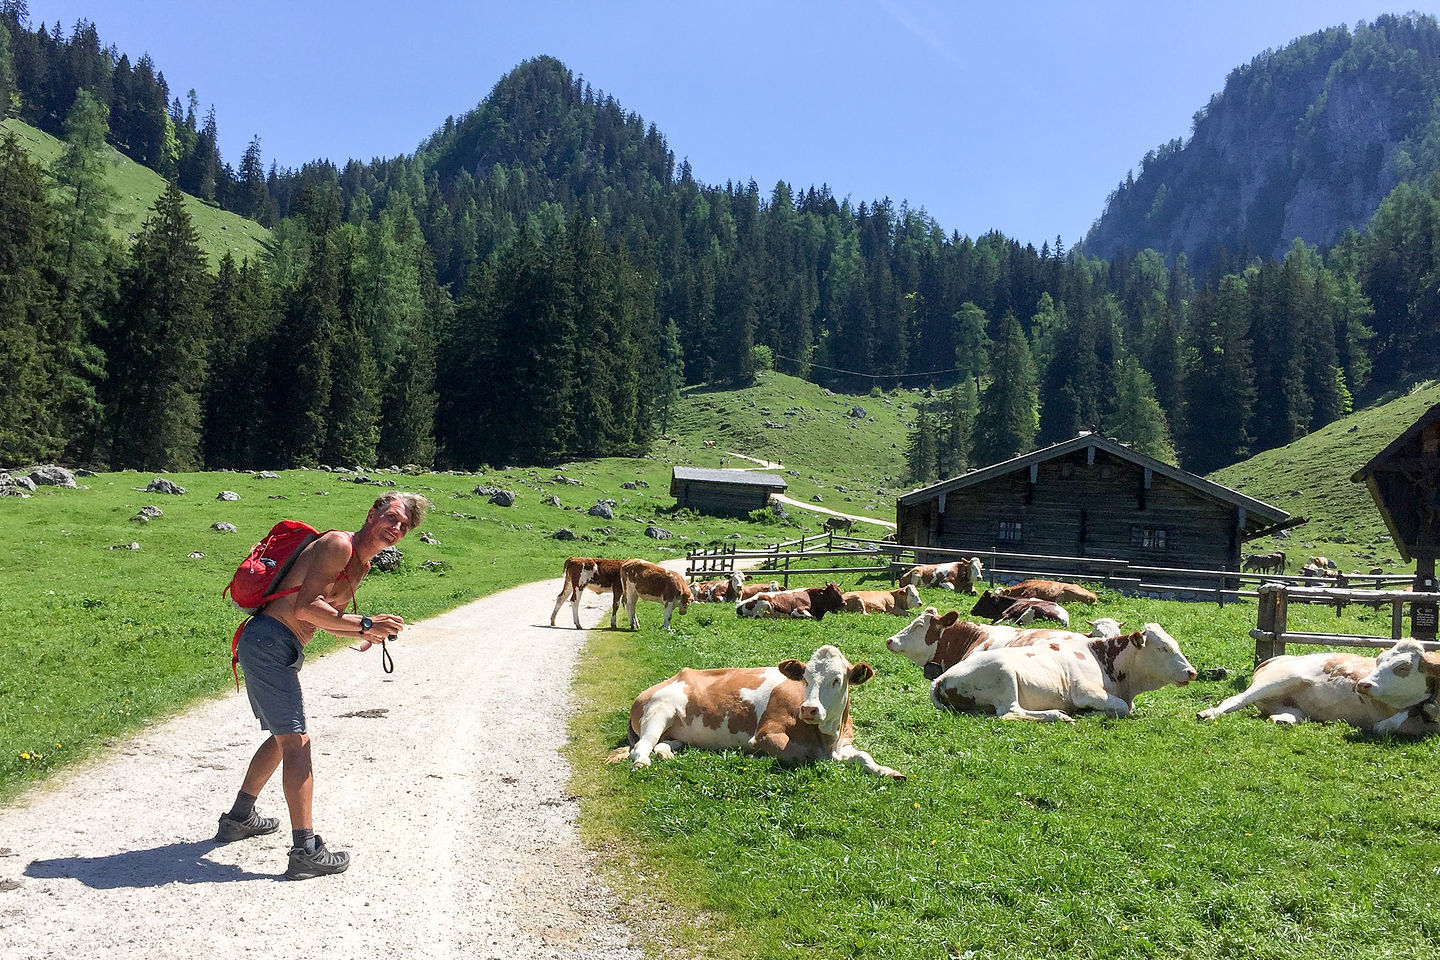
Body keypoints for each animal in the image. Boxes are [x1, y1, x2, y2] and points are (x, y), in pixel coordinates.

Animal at [604, 644, 898, 782]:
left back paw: (667, 754)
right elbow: (800, 756)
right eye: (805, 678)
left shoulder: (843, 744)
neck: (827, 739)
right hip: (658, 711)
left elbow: (864, 756)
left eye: (837, 679)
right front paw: (756, 756)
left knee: (662, 744)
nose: (809, 708)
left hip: (674, 730)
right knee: (641, 747)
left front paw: (888, 771)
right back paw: (642, 762)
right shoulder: (766, 734)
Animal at [927, 624, 1198, 719]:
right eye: (1163, 648)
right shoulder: (1085, 692)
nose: (1192, 672)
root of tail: (940, 679)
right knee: (1009, 713)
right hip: (1004, 673)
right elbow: (1122, 707)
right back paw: (1058, 714)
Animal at [1192, 639, 1440, 736]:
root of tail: (1277, 658)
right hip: (1276, 681)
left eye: (1403, 666)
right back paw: (1208, 713)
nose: (1363, 684)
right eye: (1379, 661)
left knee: (1287, 715)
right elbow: (1385, 725)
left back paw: (1283, 719)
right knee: (1235, 700)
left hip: (1287, 704)